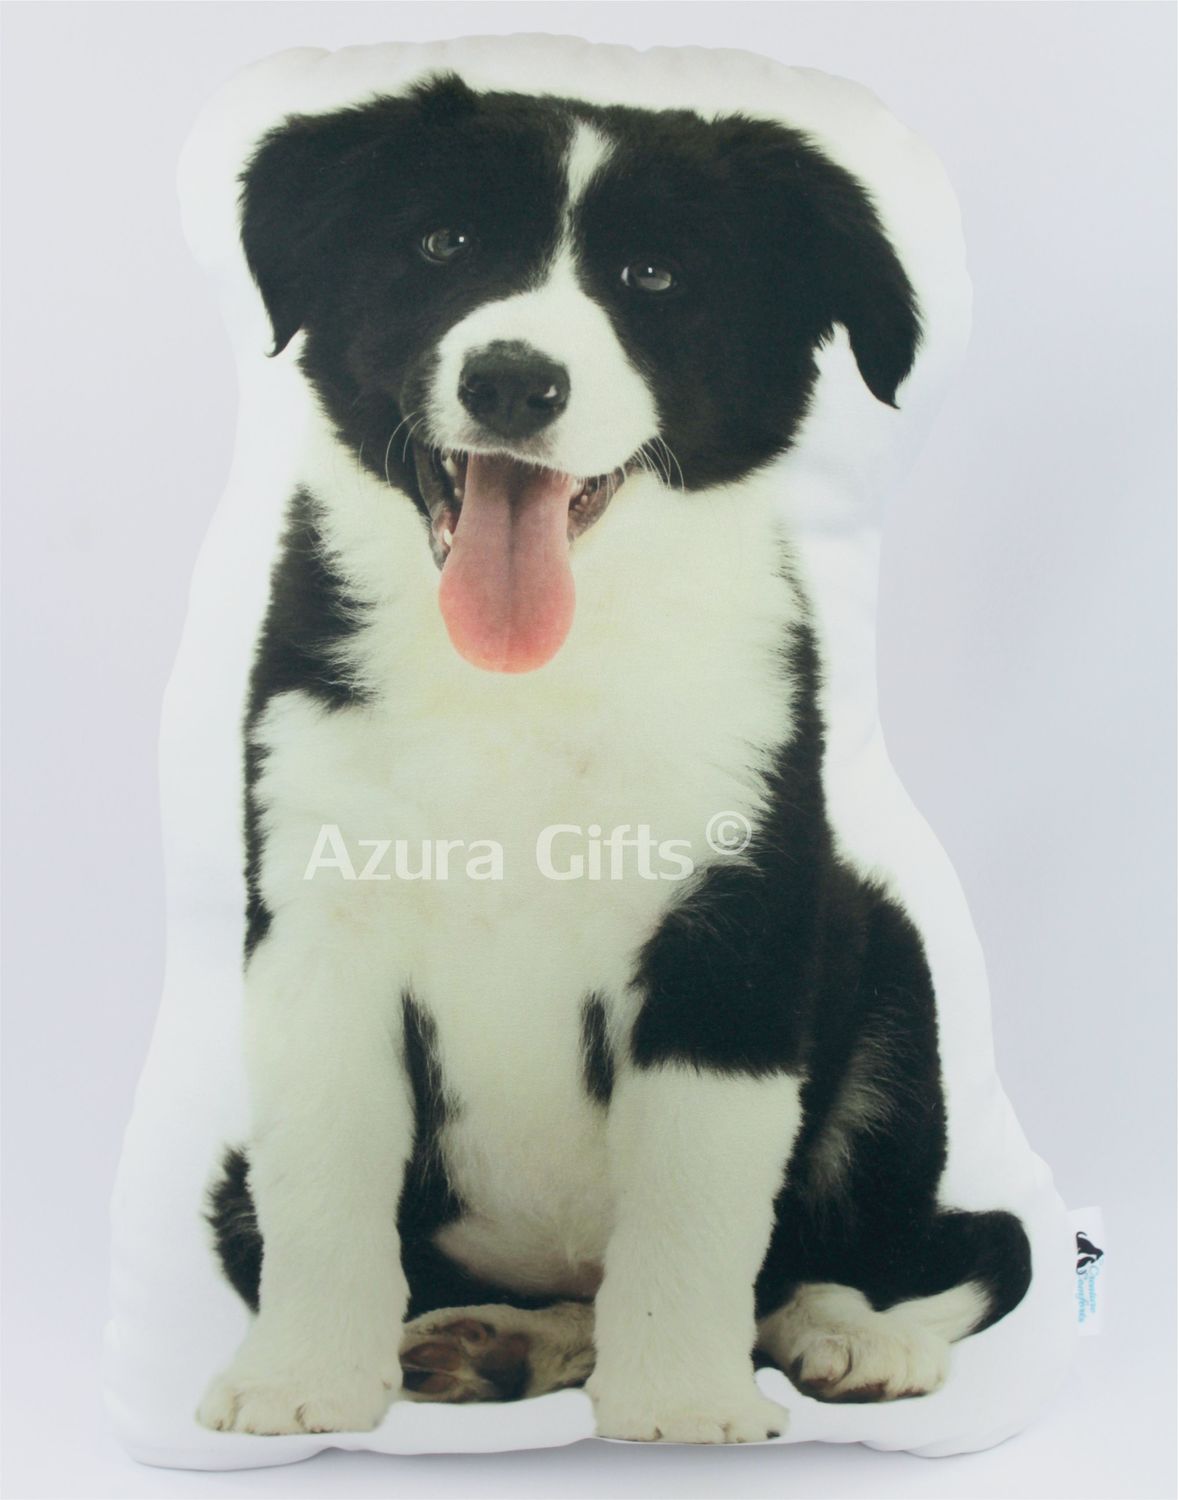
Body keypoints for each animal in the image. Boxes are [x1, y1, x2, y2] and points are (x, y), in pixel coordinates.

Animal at [196, 74, 1031, 1442]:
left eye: (652, 275)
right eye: (443, 244)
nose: (512, 383)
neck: (529, 683)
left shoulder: (729, 929)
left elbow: (694, 1209)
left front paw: (684, 1407)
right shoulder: (318, 920)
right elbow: (322, 1185)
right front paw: (301, 1381)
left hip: (885, 967)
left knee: (946, 1242)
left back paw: (853, 1337)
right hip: (237, 1182)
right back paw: (491, 1343)